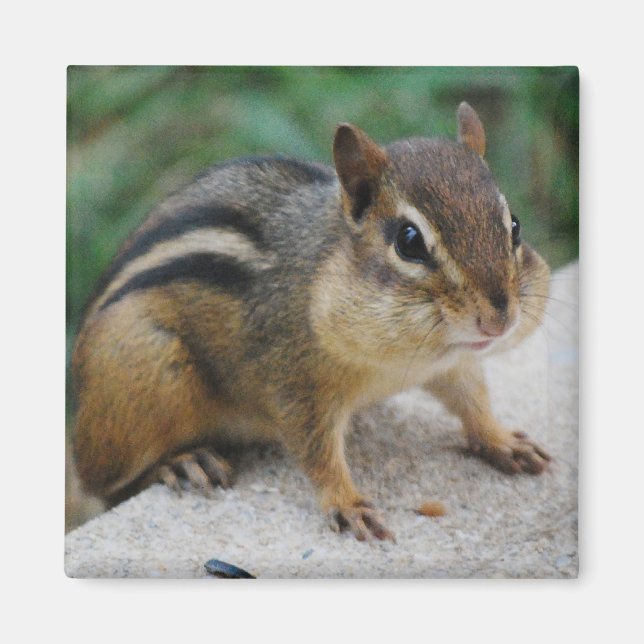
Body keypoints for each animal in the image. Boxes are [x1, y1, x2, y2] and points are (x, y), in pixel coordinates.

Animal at [72, 102, 551, 541]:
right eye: (409, 241)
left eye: (514, 225)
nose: (499, 318)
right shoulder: (294, 382)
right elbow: (316, 453)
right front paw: (348, 502)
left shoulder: (452, 363)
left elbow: (472, 399)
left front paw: (501, 439)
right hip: (145, 370)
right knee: (106, 481)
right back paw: (183, 462)